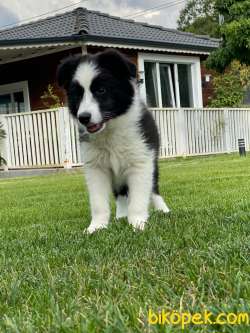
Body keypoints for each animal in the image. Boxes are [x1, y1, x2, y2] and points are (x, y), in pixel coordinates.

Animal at [57, 49, 170, 232]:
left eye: (101, 90)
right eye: (77, 94)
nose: (83, 118)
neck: (110, 131)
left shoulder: (141, 161)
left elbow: (139, 198)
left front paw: (138, 223)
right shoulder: (96, 168)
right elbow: (98, 202)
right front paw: (96, 227)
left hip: (153, 162)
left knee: (153, 188)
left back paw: (163, 210)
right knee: (121, 193)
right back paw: (121, 215)